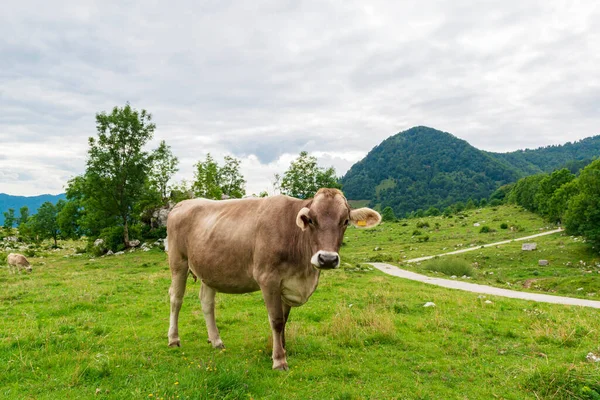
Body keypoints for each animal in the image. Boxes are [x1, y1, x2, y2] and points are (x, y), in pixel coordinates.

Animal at [166, 189, 380, 370]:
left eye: (345, 221)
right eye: (311, 220)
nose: (327, 259)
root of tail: (182, 203)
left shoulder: (288, 284)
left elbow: (284, 321)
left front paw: (283, 349)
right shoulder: (268, 279)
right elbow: (276, 321)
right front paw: (279, 360)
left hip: (210, 270)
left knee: (207, 303)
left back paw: (216, 340)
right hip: (178, 261)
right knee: (176, 299)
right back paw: (174, 339)